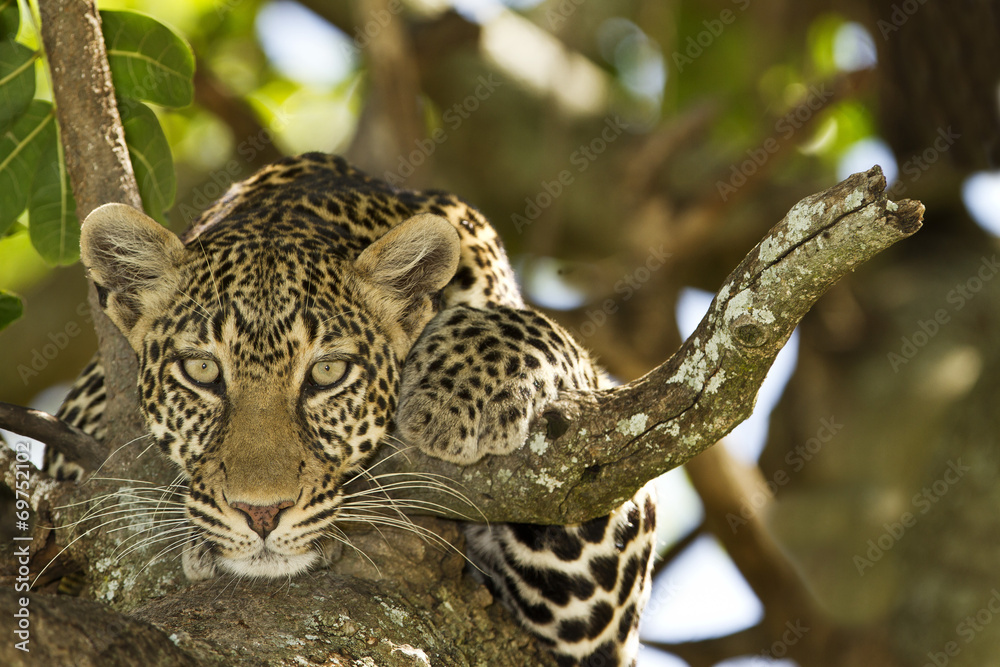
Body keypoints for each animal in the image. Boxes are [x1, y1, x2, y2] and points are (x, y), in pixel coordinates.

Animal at [50, 153, 657, 666]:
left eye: (327, 373)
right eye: (201, 371)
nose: (261, 514)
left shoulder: (595, 622)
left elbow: (539, 333)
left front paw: (455, 398)